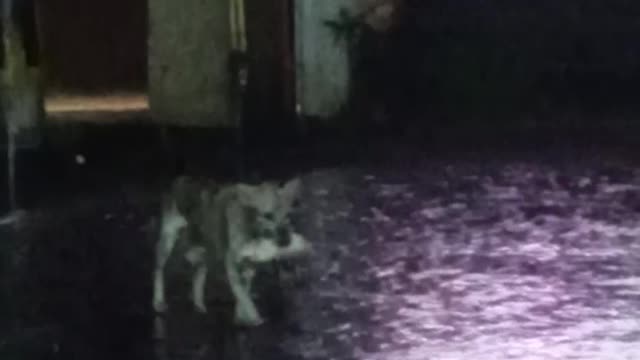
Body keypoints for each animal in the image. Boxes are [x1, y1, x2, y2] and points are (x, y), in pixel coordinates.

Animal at [152, 176, 312, 326]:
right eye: (268, 215)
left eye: (288, 215)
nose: (286, 240)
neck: (253, 230)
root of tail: (181, 179)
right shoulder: (232, 263)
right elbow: (243, 296)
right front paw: (254, 318)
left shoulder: (248, 266)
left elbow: (243, 293)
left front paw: (241, 317)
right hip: (168, 240)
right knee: (159, 270)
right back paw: (158, 302)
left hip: (206, 250)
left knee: (198, 275)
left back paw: (199, 304)